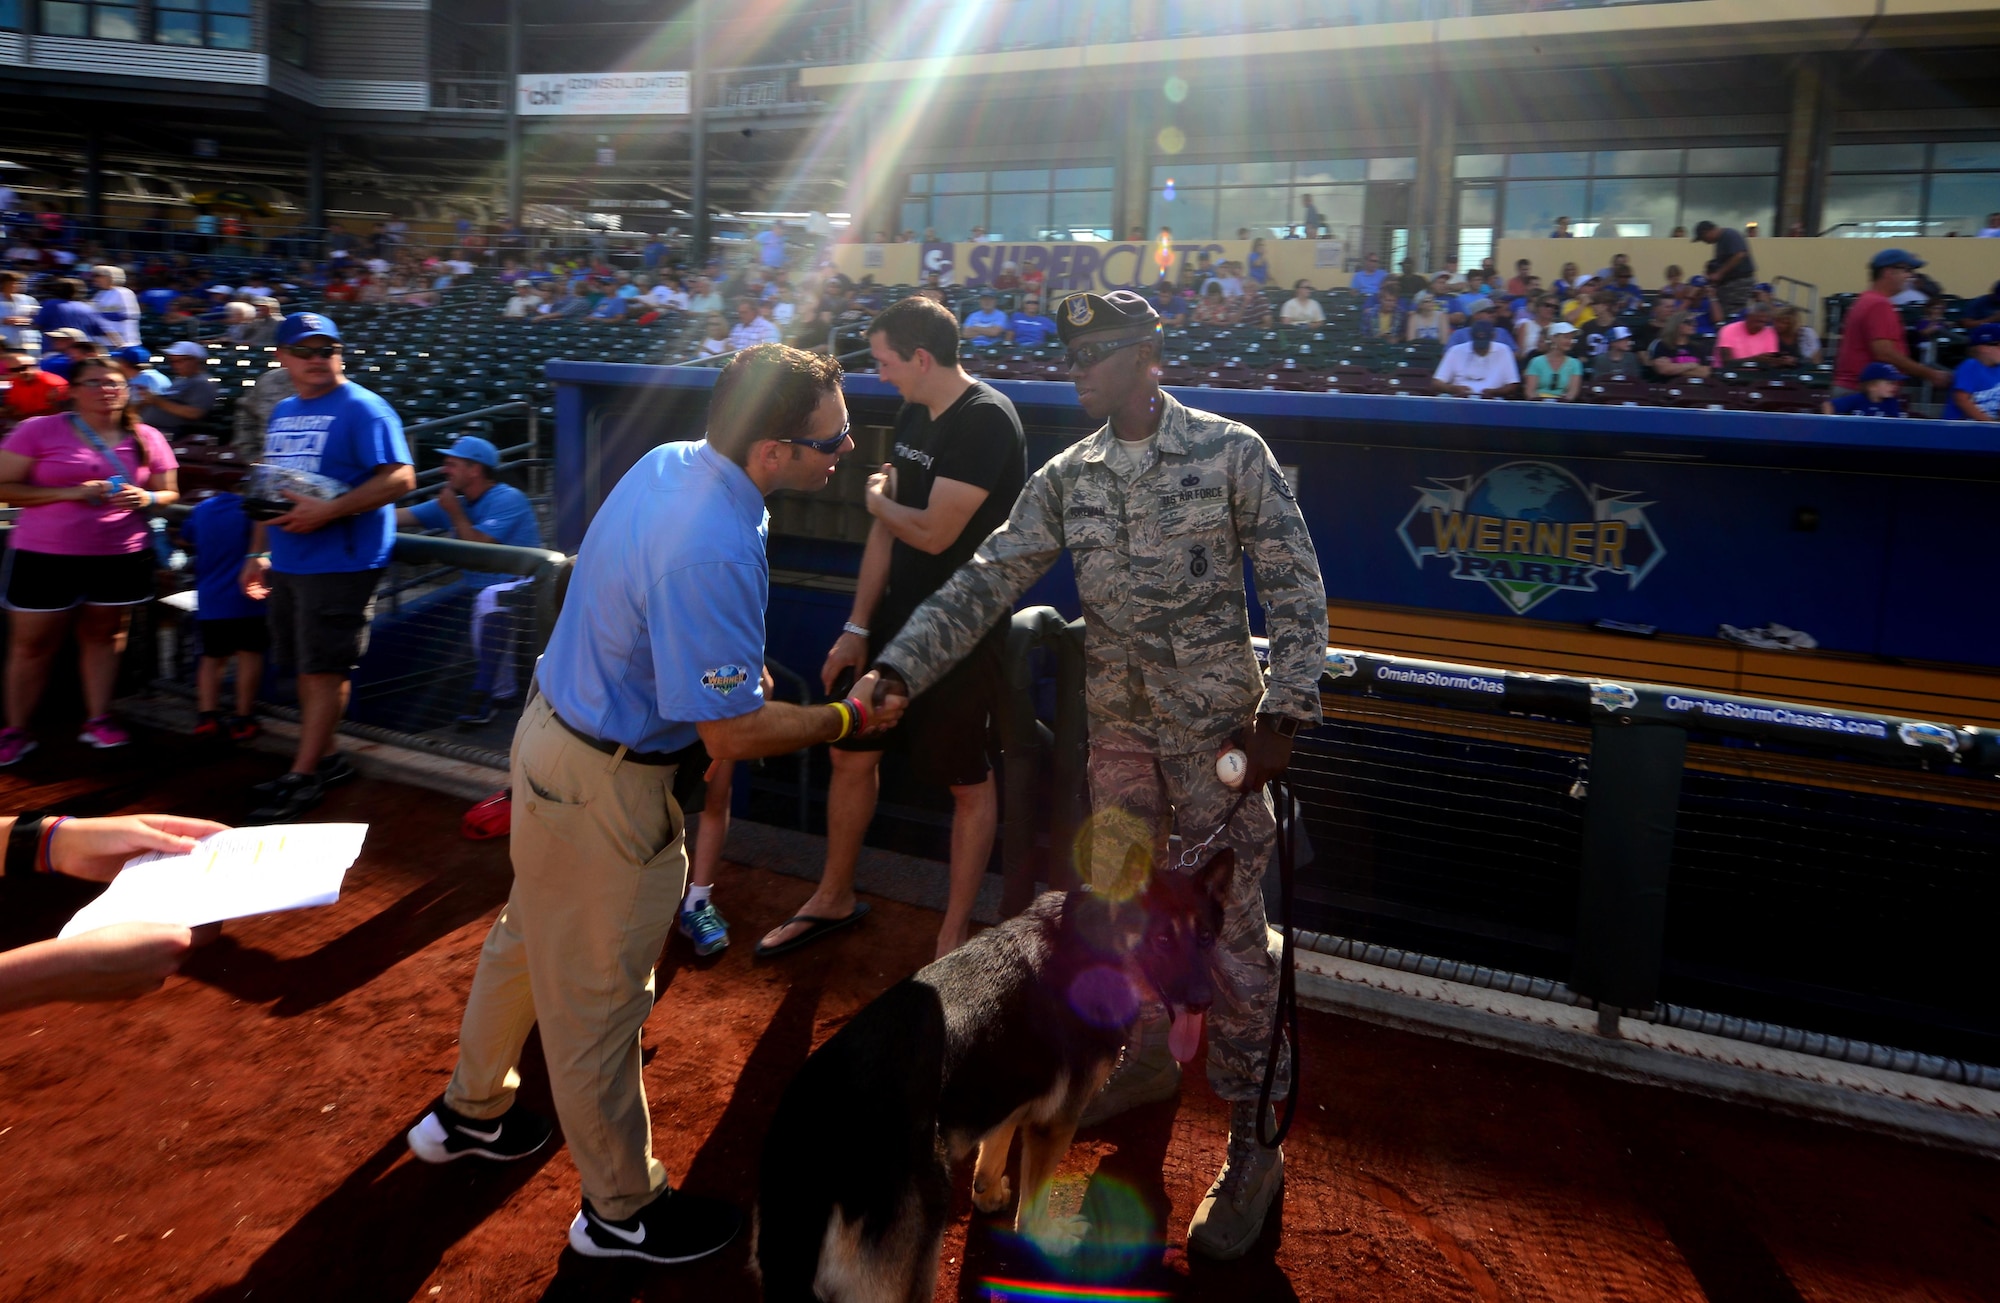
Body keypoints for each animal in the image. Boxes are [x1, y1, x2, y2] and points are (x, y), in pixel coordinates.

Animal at [752, 851, 1232, 1295]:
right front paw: (1048, 1238)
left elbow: (995, 1147)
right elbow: (1032, 1206)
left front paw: (989, 1195)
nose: (1203, 1002)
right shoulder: (1055, 1124)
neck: (1096, 942)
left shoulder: (1008, 1092)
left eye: (1206, 937)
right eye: (1163, 938)